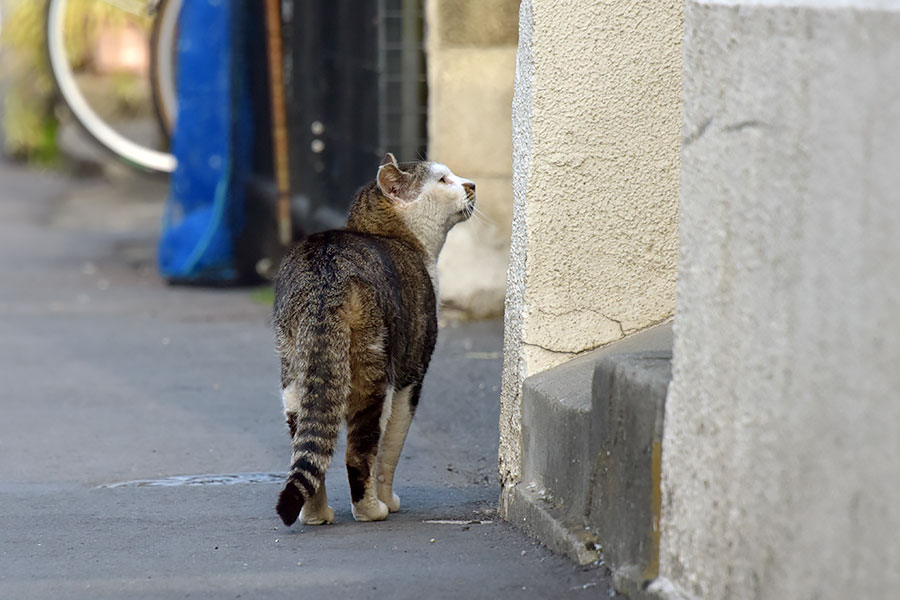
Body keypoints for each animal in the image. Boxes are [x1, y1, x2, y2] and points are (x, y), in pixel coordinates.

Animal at [272, 154, 474, 524]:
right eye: (443, 180)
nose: (473, 185)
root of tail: (325, 279)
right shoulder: (411, 375)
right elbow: (390, 450)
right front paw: (388, 500)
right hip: (373, 371)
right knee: (358, 452)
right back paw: (370, 510)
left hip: (293, 375)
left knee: (307, 448)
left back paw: (316, 515)